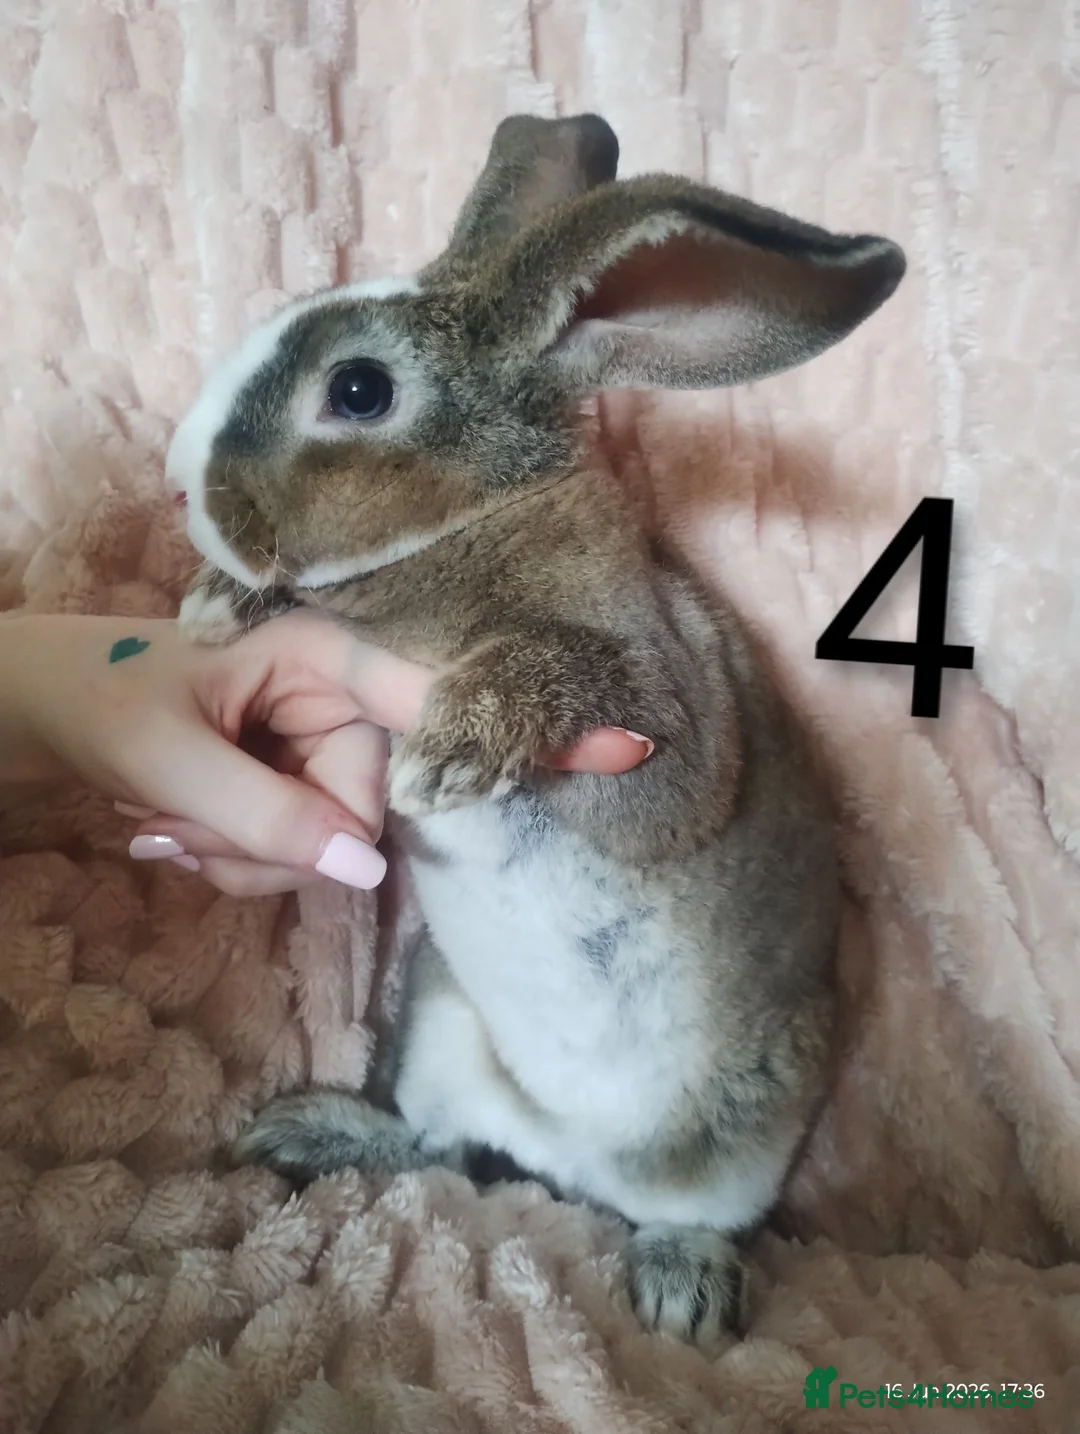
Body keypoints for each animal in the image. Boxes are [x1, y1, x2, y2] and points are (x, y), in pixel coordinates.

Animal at [167, 114, 905, 1344]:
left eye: (358, 389)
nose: (184, 490)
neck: (474, 525)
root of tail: (569, 1166)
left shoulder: (669, 722)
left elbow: (595, 699)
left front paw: (453, 748)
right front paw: (217, 607)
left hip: (747, 1133)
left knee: (684, 1208)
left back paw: (683, 1290)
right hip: (435, 1031)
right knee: (441, 1146)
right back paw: (314, 1131)